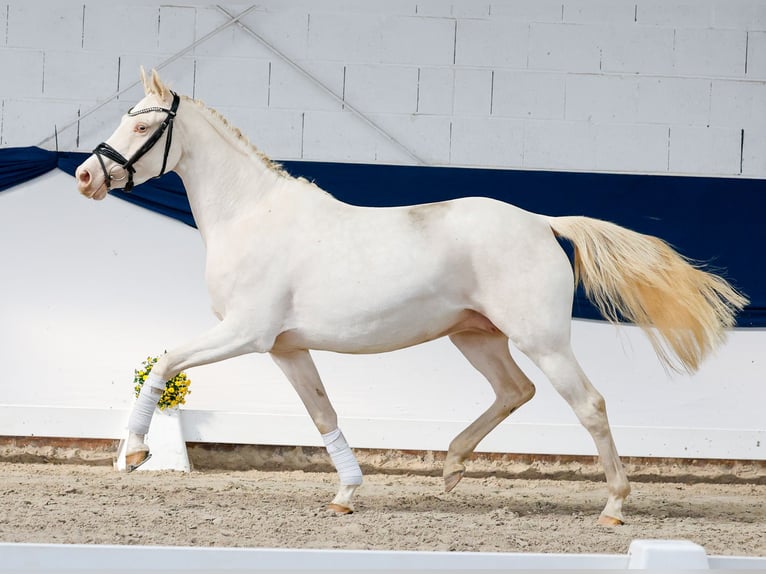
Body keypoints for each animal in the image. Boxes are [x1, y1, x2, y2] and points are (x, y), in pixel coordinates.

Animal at [75, 69, 747, 525]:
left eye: (141, 124)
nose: (85, 176)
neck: (251, 215)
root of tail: (540, 222)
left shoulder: (245, 333)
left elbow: (163, 363)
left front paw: (135, 453)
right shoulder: (286, 348)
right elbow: (323, 414)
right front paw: (346, 495)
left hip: (543, 340)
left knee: (590, 405)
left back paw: (613, 507)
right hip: (475, 337)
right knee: (515, 391)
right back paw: (451, 468)